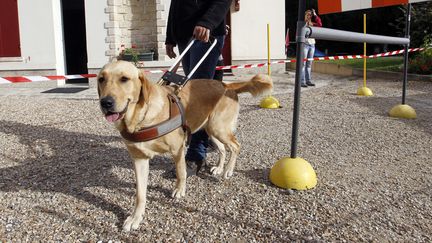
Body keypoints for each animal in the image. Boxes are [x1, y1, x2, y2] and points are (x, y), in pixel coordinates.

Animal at [98, 61, 274, 232]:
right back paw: (219, 167)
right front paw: (136, 217)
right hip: (210, 129)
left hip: (219, 128)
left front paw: (179, 190)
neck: (141, 118)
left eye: (124, 79)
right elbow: (140, 194)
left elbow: (181, 172)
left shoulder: (178, 149)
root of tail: (226, 85)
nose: (105, 102)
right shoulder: (139, 158)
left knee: (236, 146)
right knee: (223, 149)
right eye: (101, 79)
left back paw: (228, 170)